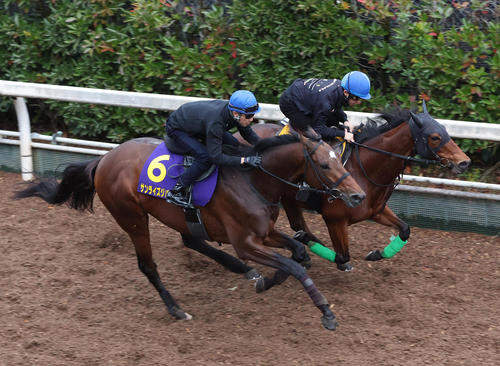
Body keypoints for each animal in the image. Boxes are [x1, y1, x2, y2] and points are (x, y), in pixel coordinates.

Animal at [15, 131, 366, 328]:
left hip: (174, 215)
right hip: (132, 217)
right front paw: (326, 312)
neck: (252, 179)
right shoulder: (245, 242)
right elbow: (295, 265)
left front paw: (265, 280)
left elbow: (298, 254)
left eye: (340, 159)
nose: (358, 195)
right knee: (148, 265)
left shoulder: (264, 232)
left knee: (190, 239)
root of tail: (102, 160)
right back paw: (176, 310)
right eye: (325, 165)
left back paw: (244, 271)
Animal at [252, 107, 470, 270]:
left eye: (445, 129)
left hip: (288, 198)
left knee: (298, 224)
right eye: (434, 137)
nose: (465, 162)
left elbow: (405, 230)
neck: (364, 169)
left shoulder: (376, 211)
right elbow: (343, 256)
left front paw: (377, 253)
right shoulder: (335, 219)